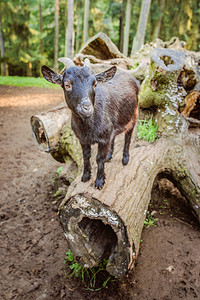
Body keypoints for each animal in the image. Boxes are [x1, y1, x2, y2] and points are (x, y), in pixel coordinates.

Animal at [41, 58, 138, 189]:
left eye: (95, 84)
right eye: (67, 85)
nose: (86, 107)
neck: (88, 128)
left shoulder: (103, 139)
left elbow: (99, 159)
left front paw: (99, 181)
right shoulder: (83, 139)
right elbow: (86, 156)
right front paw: (85, 176)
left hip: (134, 114)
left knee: (128, 135)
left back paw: (125, 159)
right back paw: (109, 156)